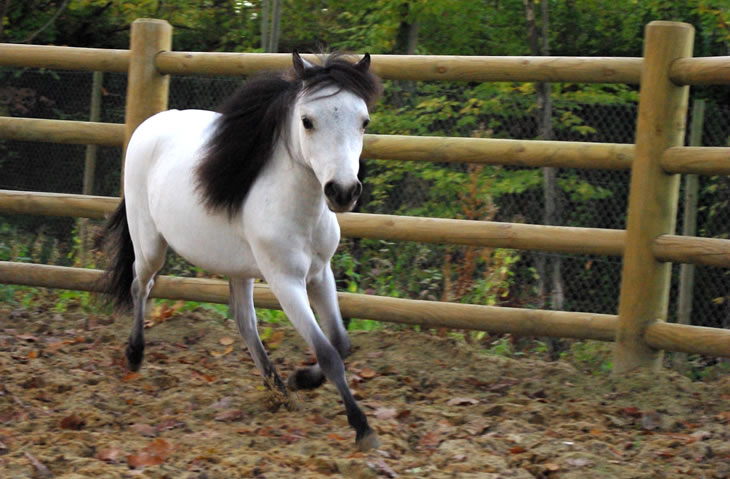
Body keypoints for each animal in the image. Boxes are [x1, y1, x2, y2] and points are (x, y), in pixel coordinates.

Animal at [101, 53, 382, 454]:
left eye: (364, 121)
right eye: (307, 121)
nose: (342, 192)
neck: (301, 210)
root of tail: (147, 126)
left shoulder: (319, 274)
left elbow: (341, 343)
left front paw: (300, 379)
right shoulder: (285, 282)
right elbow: (328, 352)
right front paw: (361, 427)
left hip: (237, 268)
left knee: (244, 321)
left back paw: (278, 389)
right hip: (150, 245)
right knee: (141, 286)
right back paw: (135, 355)